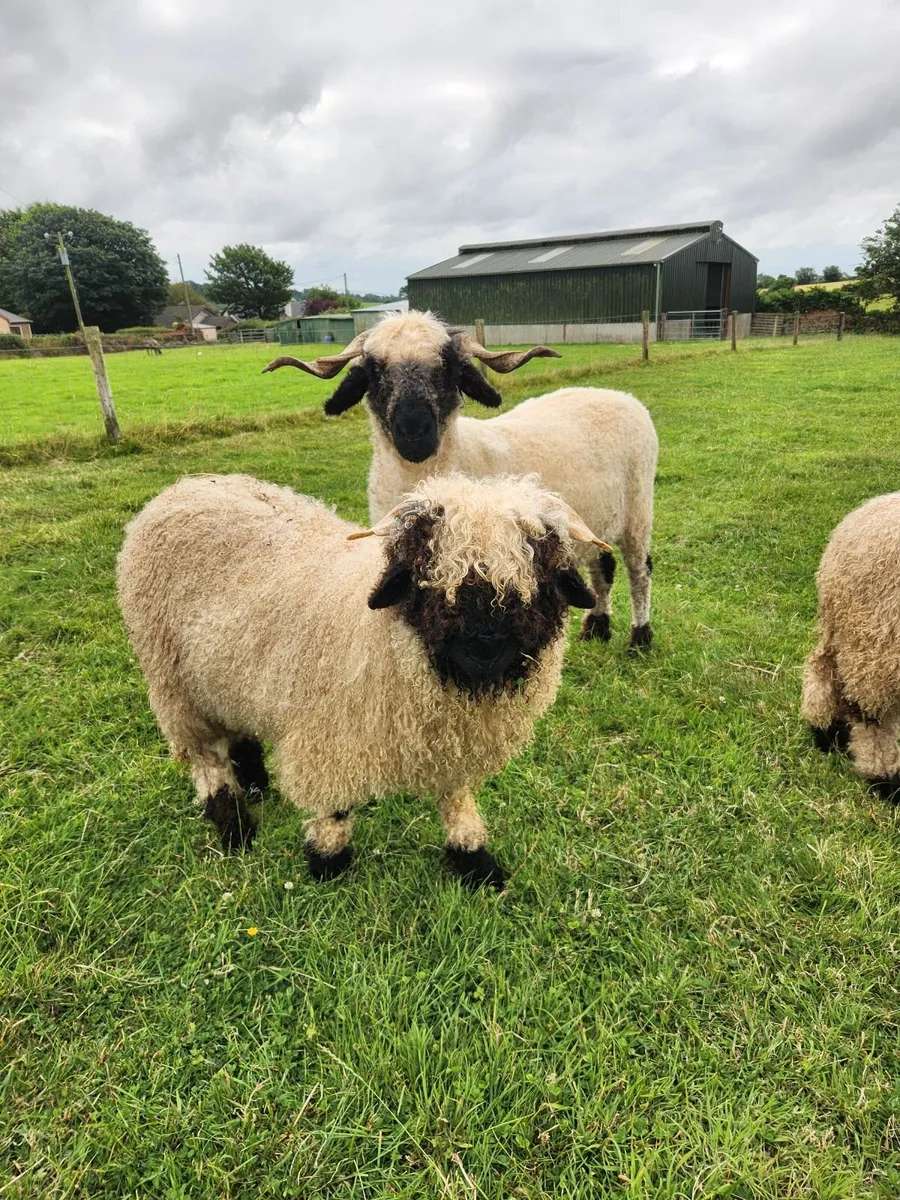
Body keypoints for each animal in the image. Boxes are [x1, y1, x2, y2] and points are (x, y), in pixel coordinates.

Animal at [116, 471, 610, 888]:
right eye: (427, 577)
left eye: (537, 579)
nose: (484, 646)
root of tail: (185, 486)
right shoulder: (330, 735)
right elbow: (335, 807)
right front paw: (326, 862)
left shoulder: (447, 740)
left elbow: (456, 799)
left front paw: (474, 860)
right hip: (175, 685)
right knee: (207, 757)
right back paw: (233, 823)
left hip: (226, 673)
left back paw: (255, 780)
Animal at [263, 310, 659, 649]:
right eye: (374, 370)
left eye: (448, 367)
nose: (413, 430)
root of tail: (618, 395)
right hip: (595, 521)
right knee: (603, 568)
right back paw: (597, 626)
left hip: (639, 512)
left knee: (639, 572)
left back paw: (639, 638)